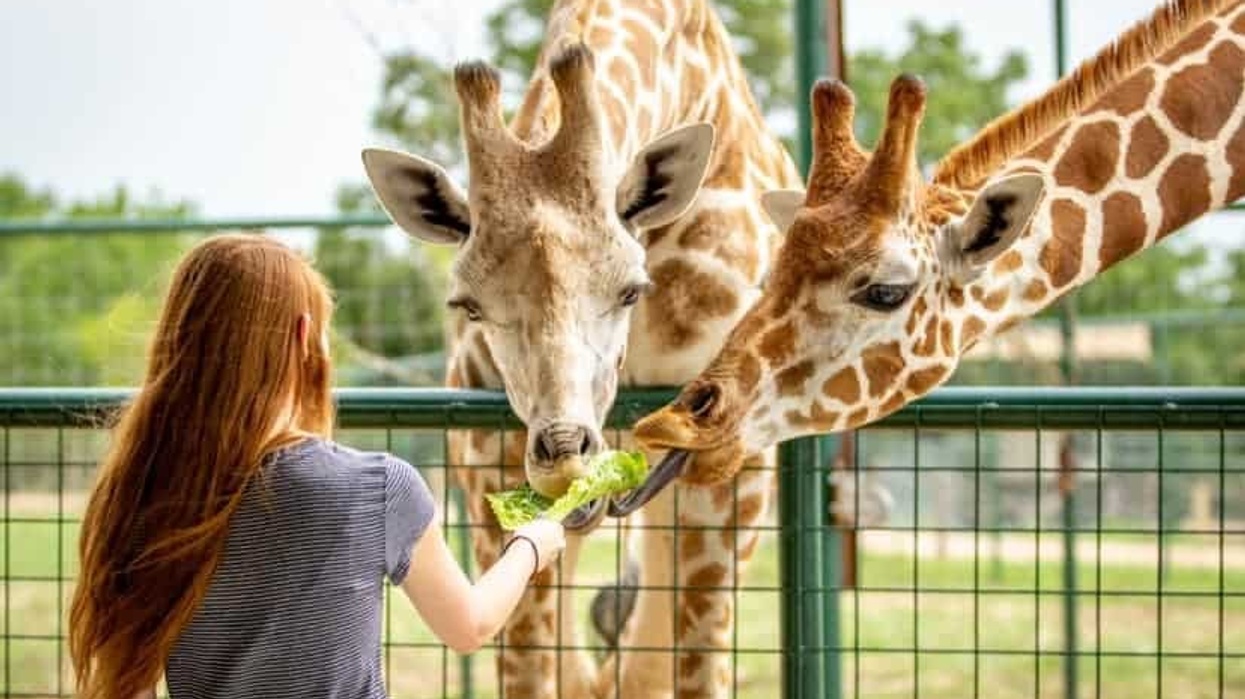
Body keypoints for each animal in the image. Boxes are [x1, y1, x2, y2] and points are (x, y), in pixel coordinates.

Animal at [360, 1, 802, 697]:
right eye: (469, 305)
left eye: (630, 289)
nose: (565, 455)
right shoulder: (490, 459)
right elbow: (531, 667)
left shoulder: (730, 473)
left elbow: (695, 663)